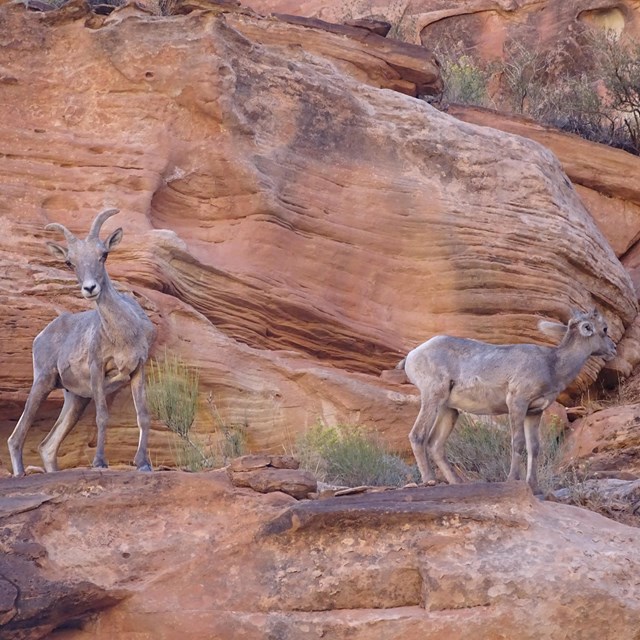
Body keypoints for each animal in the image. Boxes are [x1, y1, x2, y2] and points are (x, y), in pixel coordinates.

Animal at [7, 210, 155, 476]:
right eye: (70, 262)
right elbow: (102, 417)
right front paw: (100, 462)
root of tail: (41, 335)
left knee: (47, 446)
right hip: (43, 382)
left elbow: (143, 415)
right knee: (16, 437)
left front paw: (143, 464)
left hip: (75, 399)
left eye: (103, 255)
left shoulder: (138, 369)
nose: (90, 288)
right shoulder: (97, 369)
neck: (123, 333)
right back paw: (20, 474)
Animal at [400, 310, 616, 496]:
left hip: (449, 409)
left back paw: (457, 483)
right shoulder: (517, 403)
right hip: (432, 397)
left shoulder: (534, 412)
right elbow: (518, 442)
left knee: (435, 444)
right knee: (417, 435)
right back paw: (430, 480)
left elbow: (534, 447)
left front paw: (535, 488)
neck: (552, 366)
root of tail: (412, 355)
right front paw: (513, 480)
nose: (613, 349)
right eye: (604, 329)